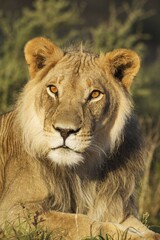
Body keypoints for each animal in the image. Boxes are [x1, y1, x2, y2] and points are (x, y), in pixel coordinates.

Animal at [0, 36, 159, 239]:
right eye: (53, 89)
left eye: (95, 94)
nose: (65, 131)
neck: (82, 170)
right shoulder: (13, 210)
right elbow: (80, 223)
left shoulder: (116, 208)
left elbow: (145, 229)